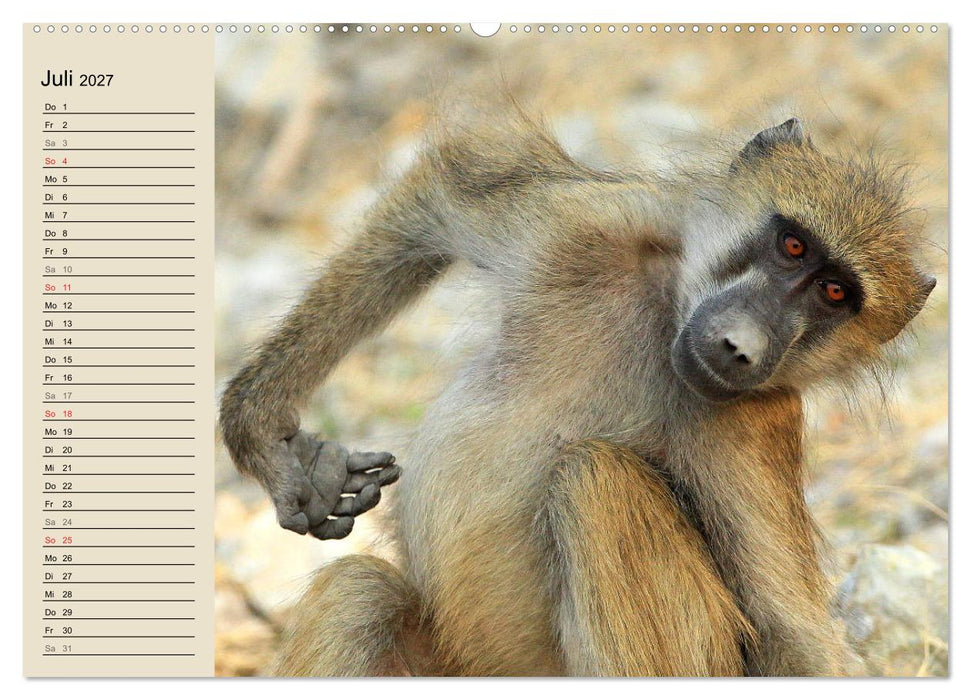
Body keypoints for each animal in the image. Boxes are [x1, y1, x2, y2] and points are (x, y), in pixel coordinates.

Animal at [219, 112, 936, 677]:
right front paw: (275, 444)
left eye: (835, 295)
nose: (742, 347)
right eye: (792, 246)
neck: (666, 311)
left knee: (596, 480)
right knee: (359, 595)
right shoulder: (583, 222)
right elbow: (441, 196)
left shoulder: (752, 428)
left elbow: (790, 633)